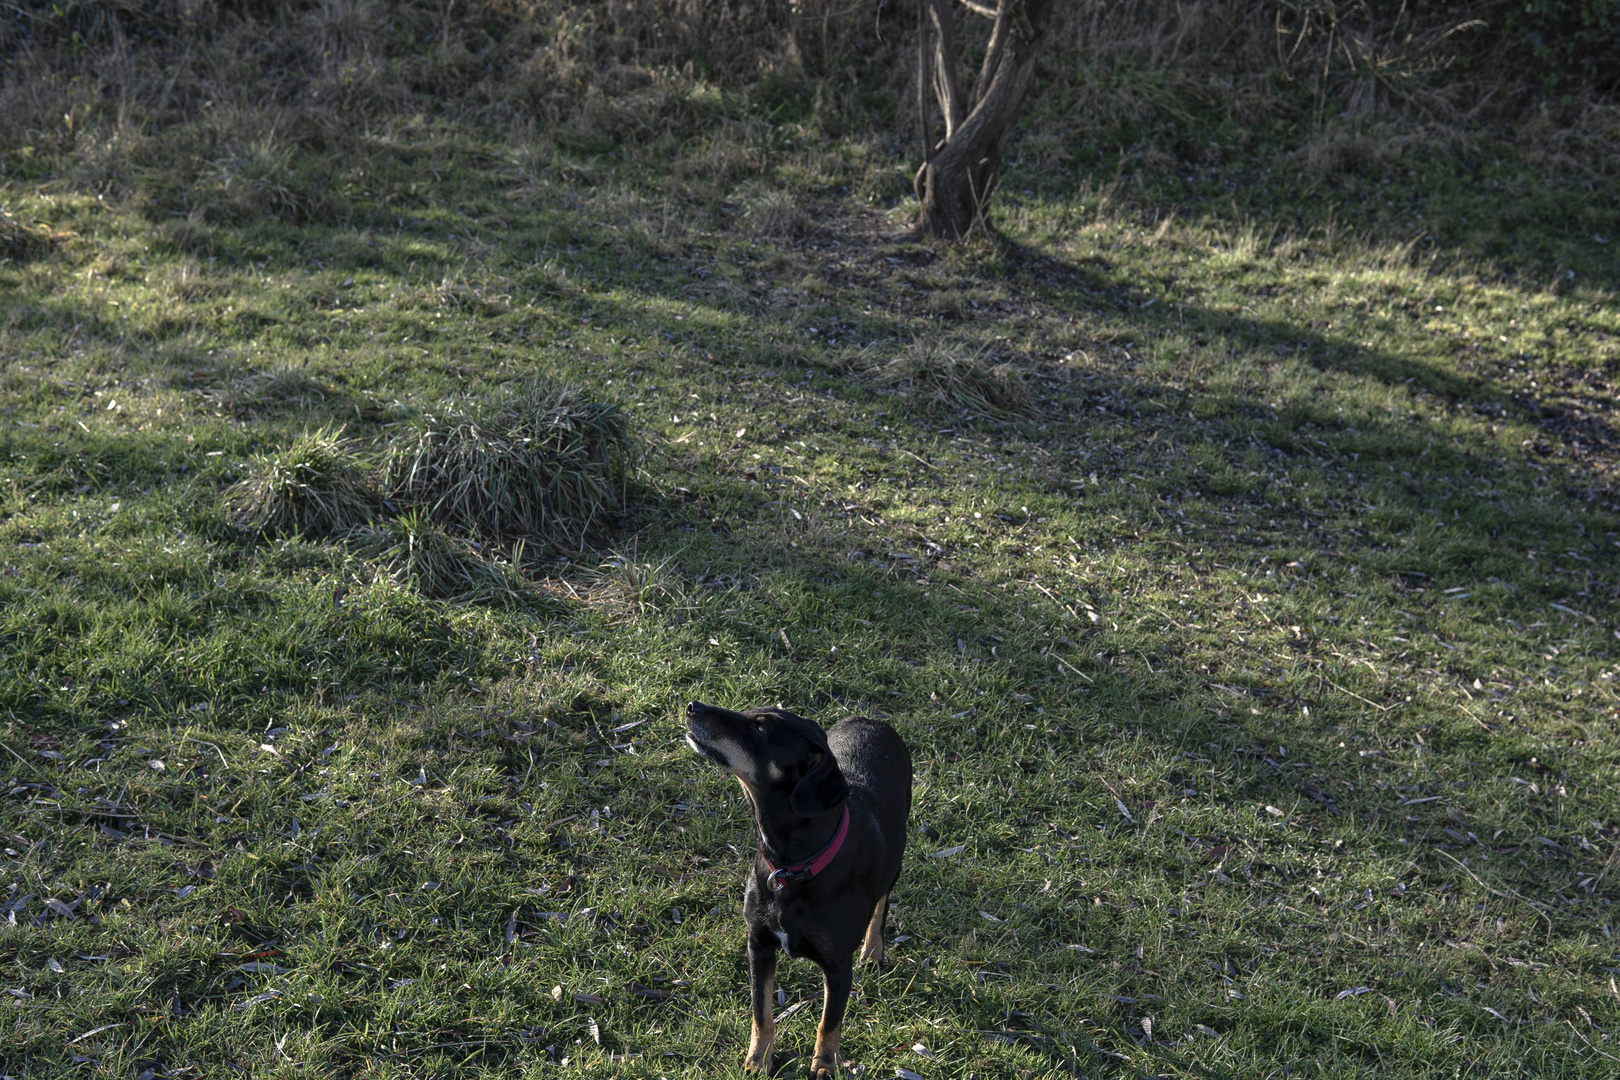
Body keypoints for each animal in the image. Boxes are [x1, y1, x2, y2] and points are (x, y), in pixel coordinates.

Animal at [683, 696, 913, 1075]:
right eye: (749, 712)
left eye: (760, 728)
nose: (692, 705)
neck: (794, 864)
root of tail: (872, 720)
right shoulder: (758, 944)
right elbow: (761, 1011)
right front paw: (758, 1060)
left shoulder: (838, 965)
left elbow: (829, 1022)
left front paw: (824, 1064)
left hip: (896, 855)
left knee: (882, 903)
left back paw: (873, 950)